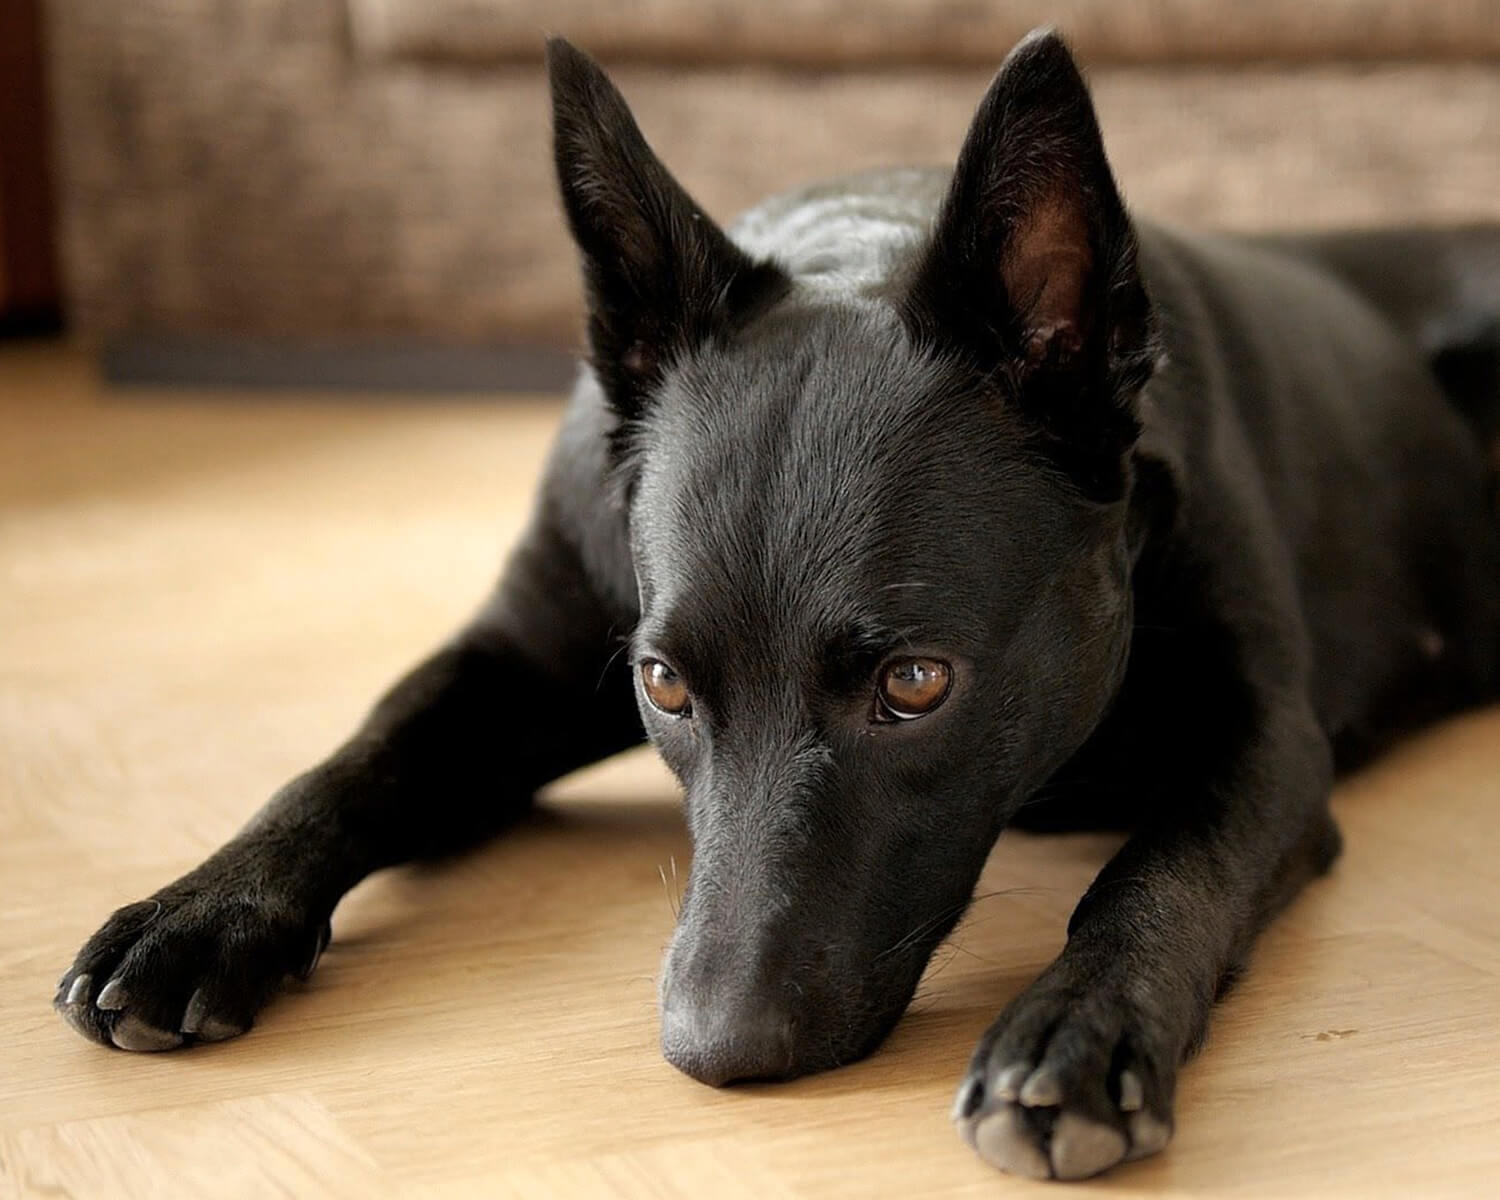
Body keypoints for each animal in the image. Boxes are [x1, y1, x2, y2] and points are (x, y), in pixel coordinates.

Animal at [52, 30, 1494, 1182]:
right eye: (664, 686)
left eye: (915, 685)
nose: (714, 1050)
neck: (864, 243)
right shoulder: (520, 656)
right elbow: (354, 759)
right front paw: (197, 912)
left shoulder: (1262, 739)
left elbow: (1163, 867)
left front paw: (1080, 1030)